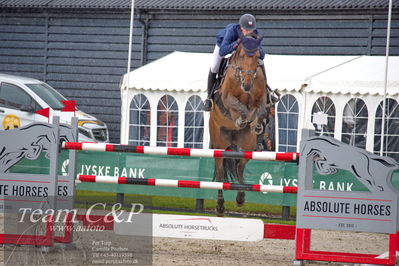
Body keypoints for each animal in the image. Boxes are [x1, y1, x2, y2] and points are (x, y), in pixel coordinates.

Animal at [209, 32, 268, 216]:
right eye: (241, 56)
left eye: (256, 57)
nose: (247, 84)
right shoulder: (226, 98)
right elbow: (236, 106)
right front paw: (241, 118)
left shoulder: (261, 98)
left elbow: (259, 108)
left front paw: (257, 123)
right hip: (219, 143)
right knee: (220, 172)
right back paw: (220, 206)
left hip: (247, 144)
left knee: (239, 167)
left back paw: (241, 197)